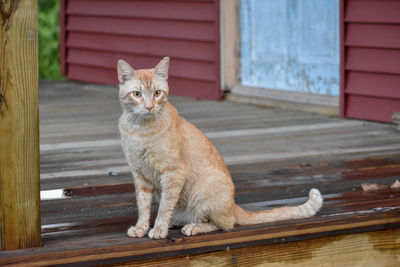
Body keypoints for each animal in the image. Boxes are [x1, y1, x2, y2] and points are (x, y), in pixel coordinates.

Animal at [117, 57, 324, 241]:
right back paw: (176, 222)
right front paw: (141, 228)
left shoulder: (173, 174)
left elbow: (164, 207)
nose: (149, 106)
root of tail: (233, 205)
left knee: (223, 224)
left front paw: (159, 229)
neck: (141, 131)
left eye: (157, 93)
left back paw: (192, 227)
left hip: (206, 190)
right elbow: (143, 206)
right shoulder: (140, 176)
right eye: (137, 94)